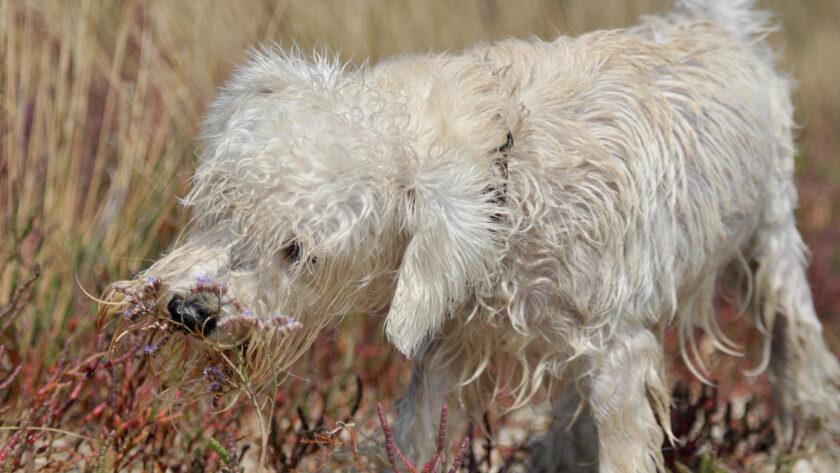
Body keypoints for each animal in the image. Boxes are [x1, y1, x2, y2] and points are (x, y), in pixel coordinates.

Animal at [116, 1, 840, 470]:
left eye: (299, 252)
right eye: (222, 206)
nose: (191, 310)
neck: (507, 182)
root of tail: (722, 25)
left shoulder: (617, 354)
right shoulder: (445, 353)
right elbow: (415, 441)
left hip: (773, 243)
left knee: (796, 345)